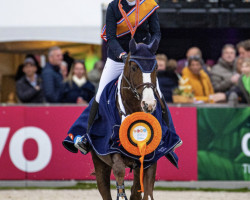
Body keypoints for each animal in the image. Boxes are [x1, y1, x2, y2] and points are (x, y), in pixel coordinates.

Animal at [90, 38, 162, 200]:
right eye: (134, 68)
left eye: (156, 67)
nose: (149, 104)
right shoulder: (111, 149)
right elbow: (119, 171)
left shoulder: (149, 159)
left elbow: (146, 188)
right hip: (99, 163)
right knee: (105, 188)